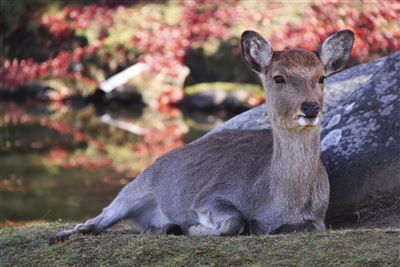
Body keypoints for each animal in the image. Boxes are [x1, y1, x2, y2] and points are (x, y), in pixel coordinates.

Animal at [52, 29, 354, 243]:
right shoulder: (209, 198)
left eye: (322, 77)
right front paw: (195, 228)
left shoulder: (318, 220)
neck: (278, 203)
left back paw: (166, 226)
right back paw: (66, 232)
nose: (311, 107)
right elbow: (234, 221)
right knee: (101, 216)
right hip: (138, 185)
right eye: (279, 77)